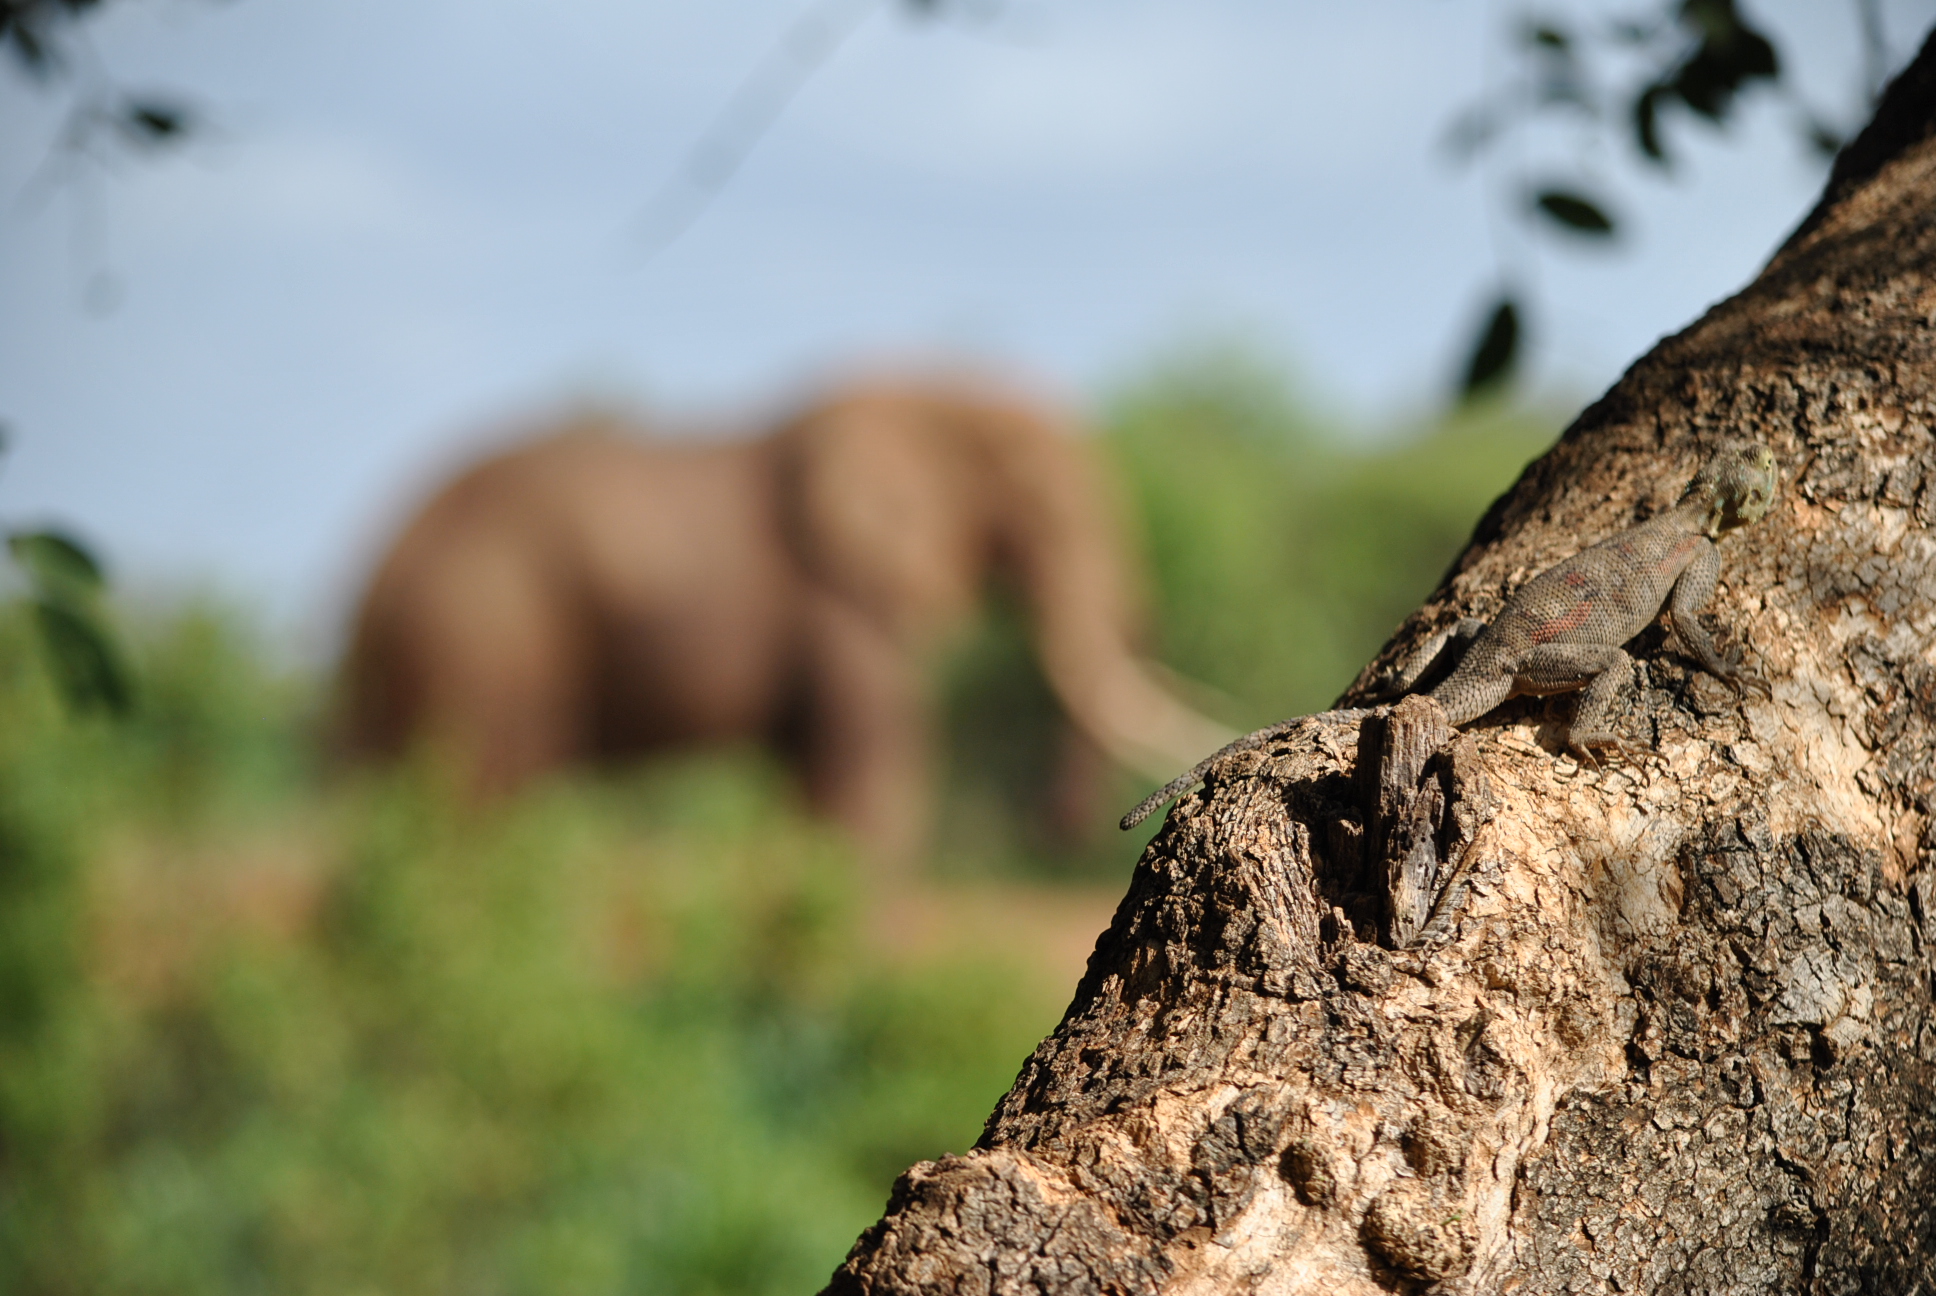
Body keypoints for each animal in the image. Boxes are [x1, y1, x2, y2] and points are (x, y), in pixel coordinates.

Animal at [340, 379, 1223, 864]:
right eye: (1043, 503)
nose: (1056, 826)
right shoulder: (839, 608)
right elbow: (872, 778)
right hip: (482, 639)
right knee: (479, 789)